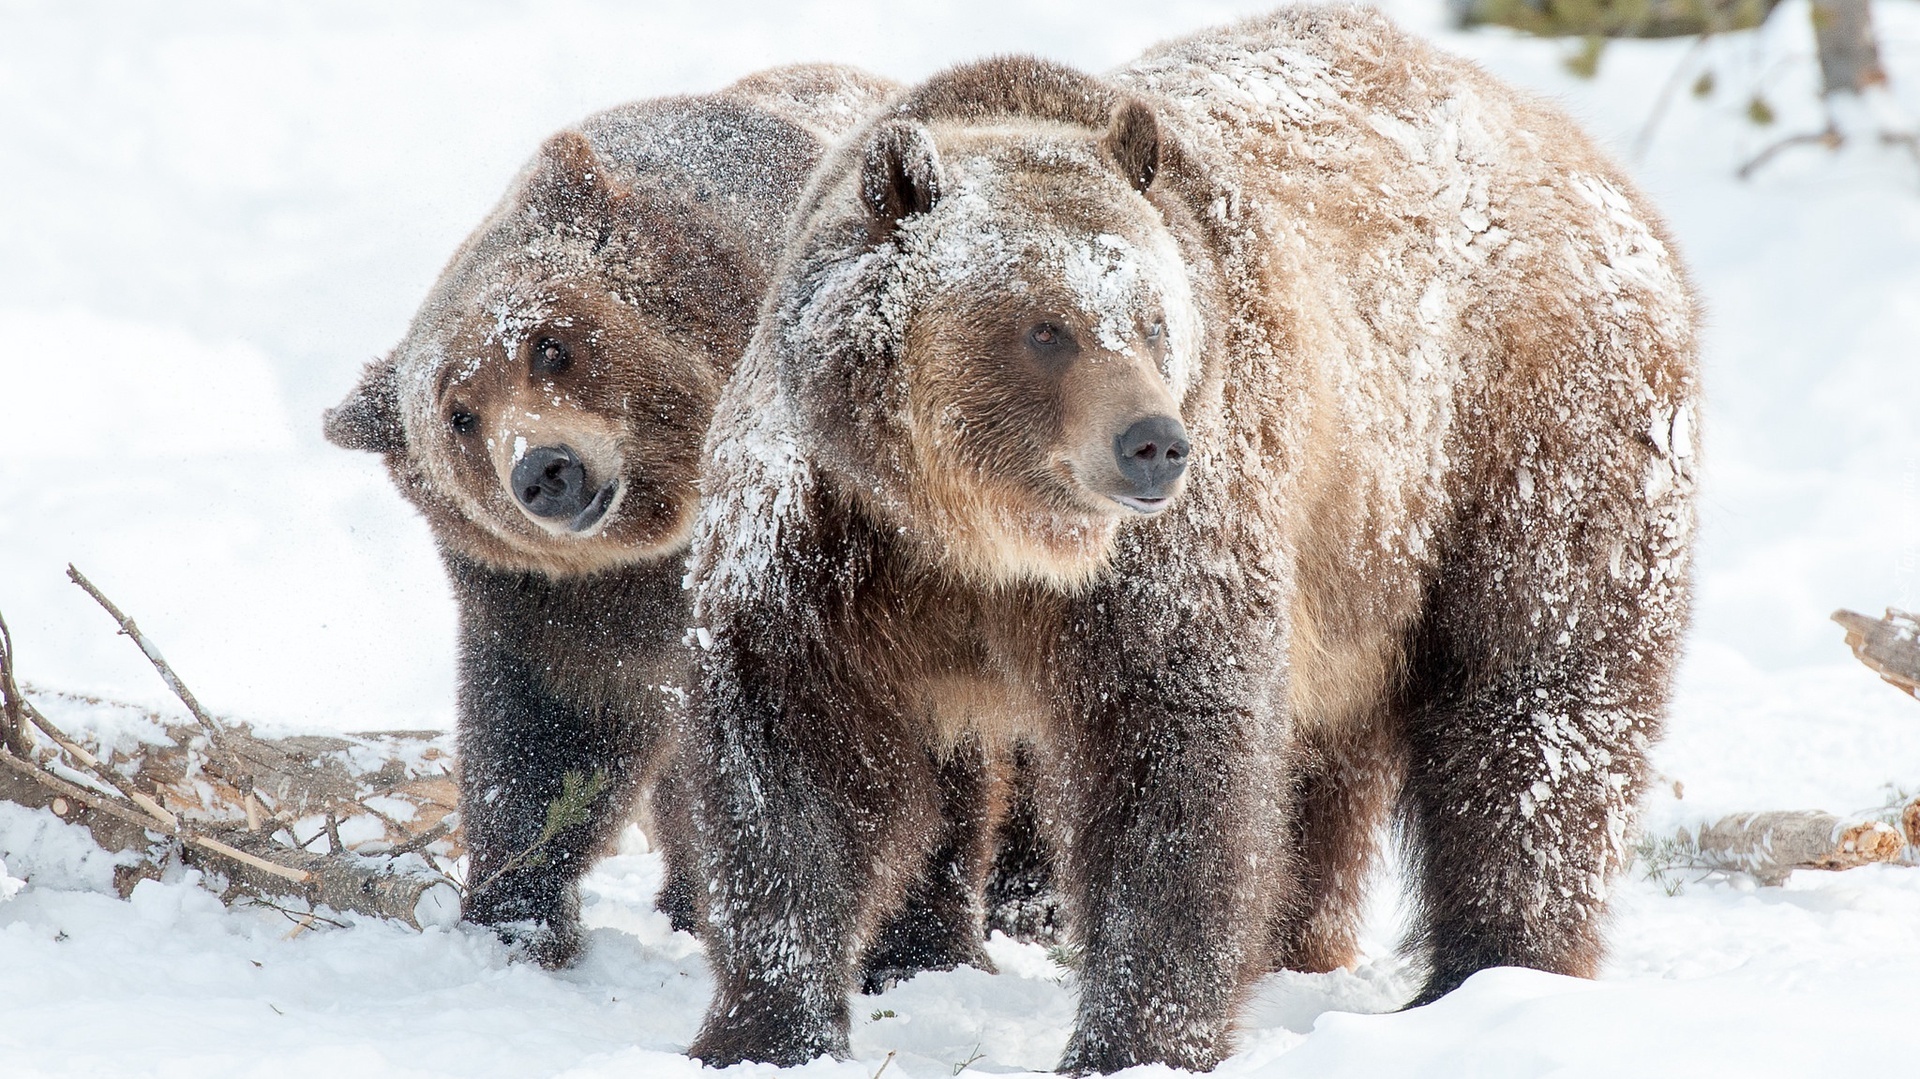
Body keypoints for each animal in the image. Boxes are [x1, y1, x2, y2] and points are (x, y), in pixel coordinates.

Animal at [324, 62, 906, 959]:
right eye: (460, 415)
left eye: (550, 343)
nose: (545, 469)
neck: (667, 527)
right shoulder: (559, 601)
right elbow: (552, 737)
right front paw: (517, 909)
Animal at [683, 6, 1704, 1067]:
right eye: (1046, 328)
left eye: (1149, 318)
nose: (1152, 443)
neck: (983, 536)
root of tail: (1590, 158)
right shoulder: (830, 548)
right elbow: (796, 764)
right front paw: (765, 1026)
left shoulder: (1164, 560)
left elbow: (1173, 771)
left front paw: (1131, 1037)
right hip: (1355, 562)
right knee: (1332, 762)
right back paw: (1304, 940)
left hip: (1528, 444)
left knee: (1534, 709)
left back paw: (1495, 970)